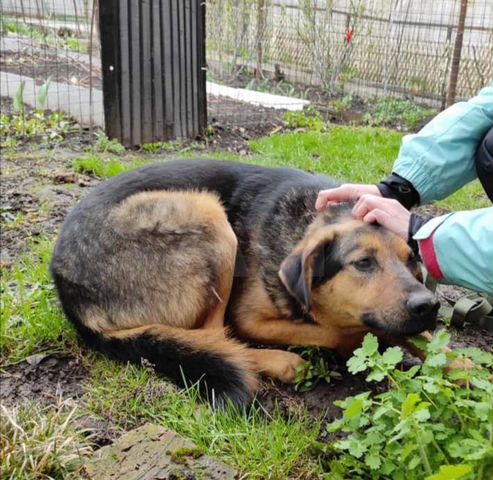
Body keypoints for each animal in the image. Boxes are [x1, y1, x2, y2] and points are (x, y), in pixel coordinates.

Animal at [51, 159, 438, 404]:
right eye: (363, 263)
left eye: (412, 261)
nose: (429, 305)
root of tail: (68, 290)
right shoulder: (251, 317)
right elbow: (337, 330)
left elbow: (431, 342)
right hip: (208, 215)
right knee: (216, 335)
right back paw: (278, 362)